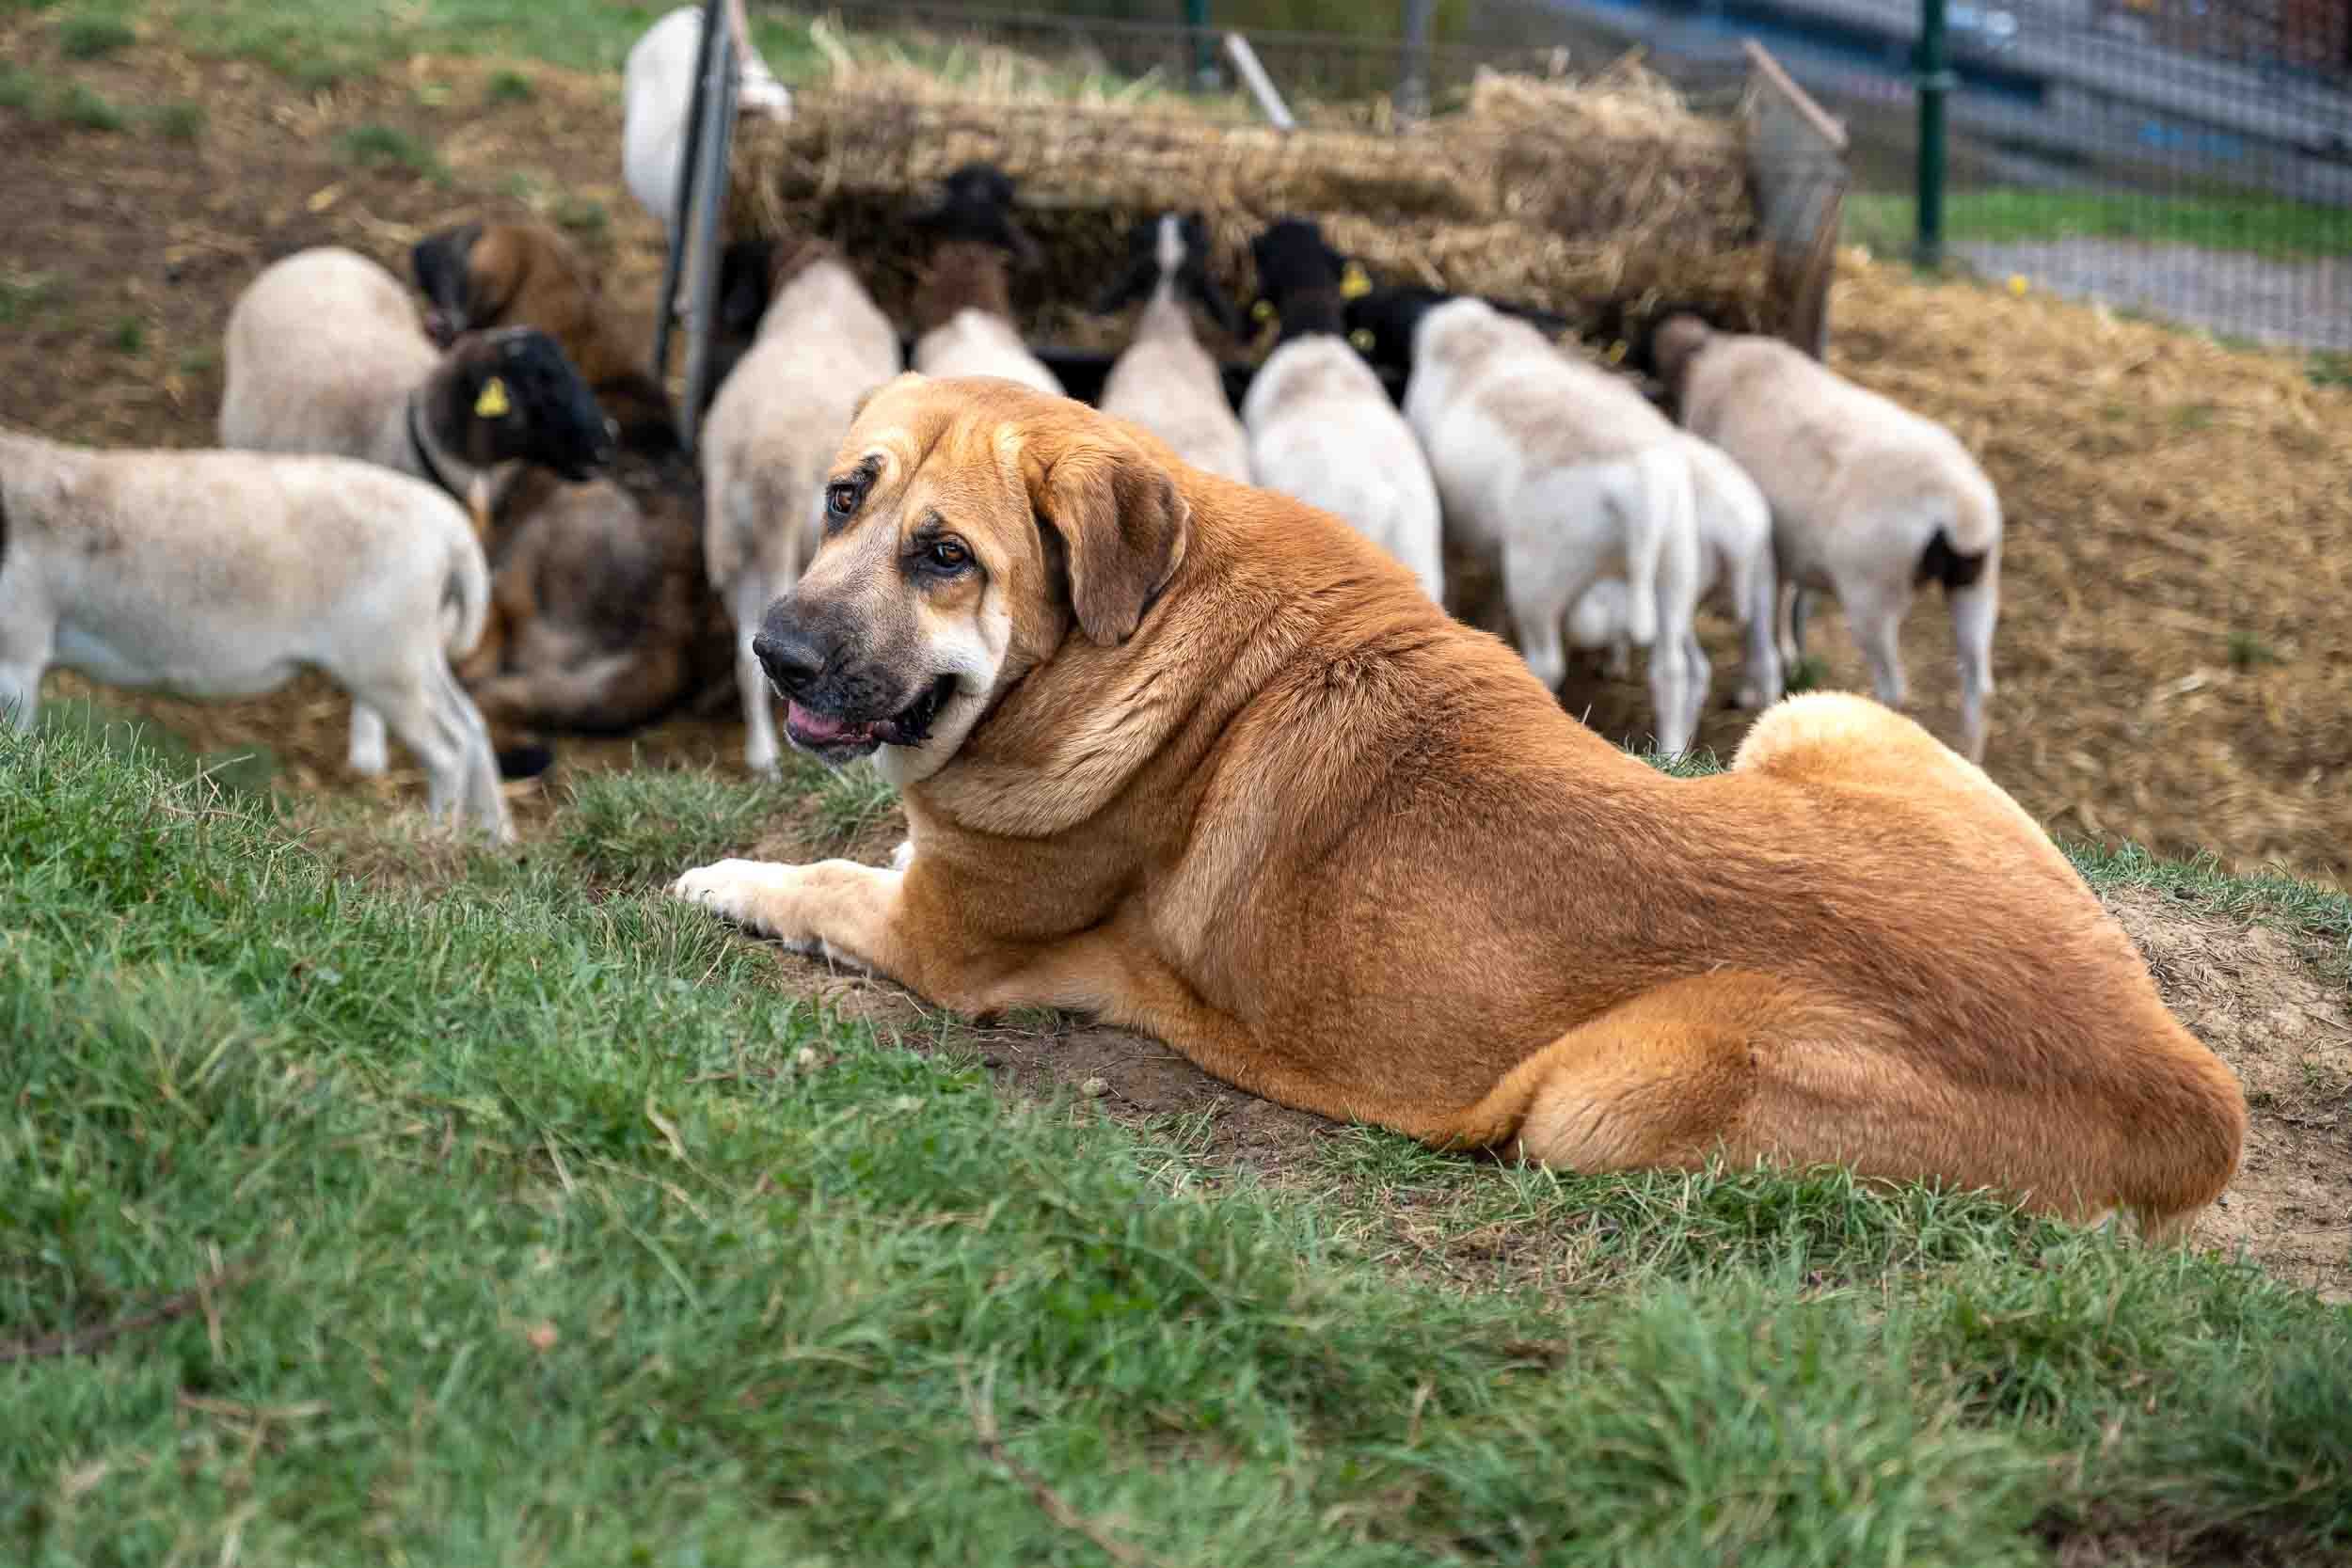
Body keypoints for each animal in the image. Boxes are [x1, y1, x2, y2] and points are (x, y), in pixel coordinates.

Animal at [0, 423, 509, 840]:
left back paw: (437, 839)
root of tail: (452, 533)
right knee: (470, 725)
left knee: (446, 750)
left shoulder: (17, 649)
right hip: (414, 653)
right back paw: (491, 840)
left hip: (384, 660)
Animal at [1344, 285, 1704, 754]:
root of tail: (1642, 485)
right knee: (1670, 670)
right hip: (1675, 565)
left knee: (1547, 662)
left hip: (1541, 573)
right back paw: (1671, 749)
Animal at [1643, 310, 2003, 762]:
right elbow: (1784, 602)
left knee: (1895, 690)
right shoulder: (1783, 548)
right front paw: (1786, 659)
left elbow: (1759, 621)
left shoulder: (1763, 552)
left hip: (1872, 594)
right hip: (1976, 585)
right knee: (1978, 688)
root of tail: (1959, 507)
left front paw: (1751, 689)